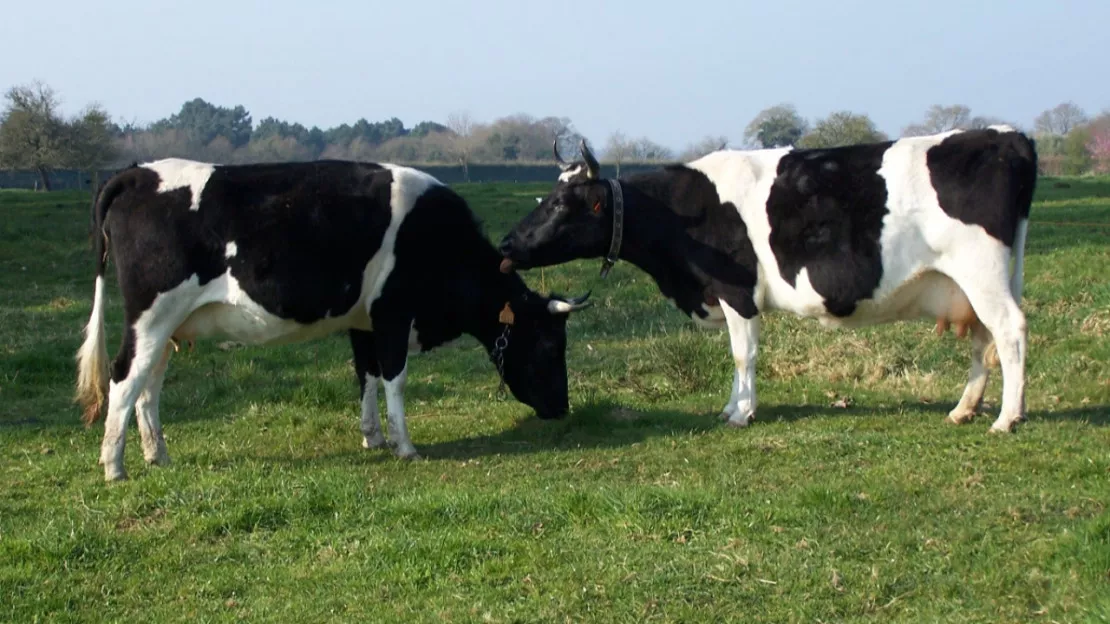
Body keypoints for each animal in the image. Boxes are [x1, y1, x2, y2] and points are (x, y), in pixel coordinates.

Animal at [73, 157, 594, 477]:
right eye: (550, 344)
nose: (562, 408)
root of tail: (138, 173)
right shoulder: (392, 313)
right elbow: (394, 379)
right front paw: (405, 446)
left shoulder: (362, 322)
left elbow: (366, 376)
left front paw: (373, 438)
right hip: (151, 314)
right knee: (124, 377)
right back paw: (114, 466)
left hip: (167, 325)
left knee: (149, 384)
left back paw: (156, 455)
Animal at [499, 127, 1034, 433]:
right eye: (546, 196)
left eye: (562, 204)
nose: (505, 244)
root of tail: (1009, 136)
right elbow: (737, 356)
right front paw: (731, 407)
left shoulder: (738, 293)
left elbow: (743, 353)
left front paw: (742, 412)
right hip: (975, 282)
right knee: (984, 339)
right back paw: (965, 409)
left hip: (981, 270)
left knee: (1010, 330)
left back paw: (1007, 418)